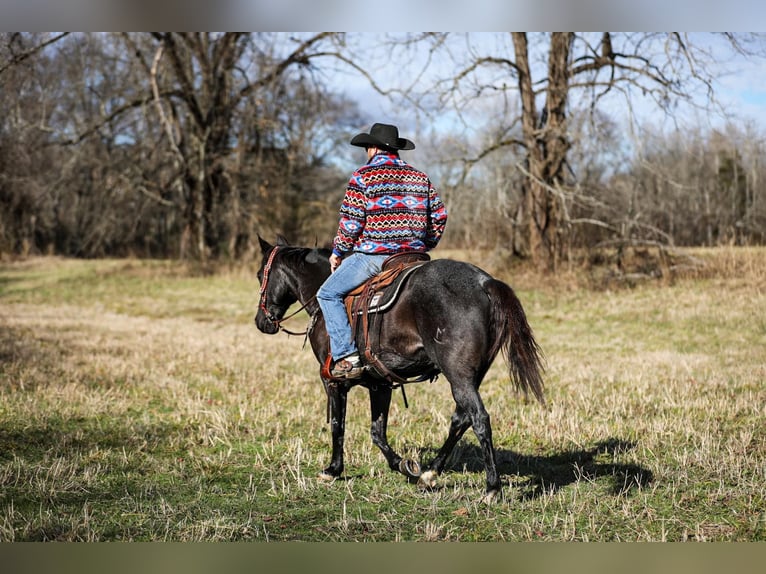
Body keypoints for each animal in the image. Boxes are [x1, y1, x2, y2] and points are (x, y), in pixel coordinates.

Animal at [256, 236, 544, 502]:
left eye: (260, 275)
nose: (262, 322)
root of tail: (485, 283)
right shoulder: (379, 383)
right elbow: (377, 431)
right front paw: (404, 465)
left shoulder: (333, 382)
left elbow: (339, 426)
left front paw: (333, 470)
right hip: (471, 376)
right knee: (461, 419)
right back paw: (429, 474)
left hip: (458, 376)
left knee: (479, 419)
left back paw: (492, 488)